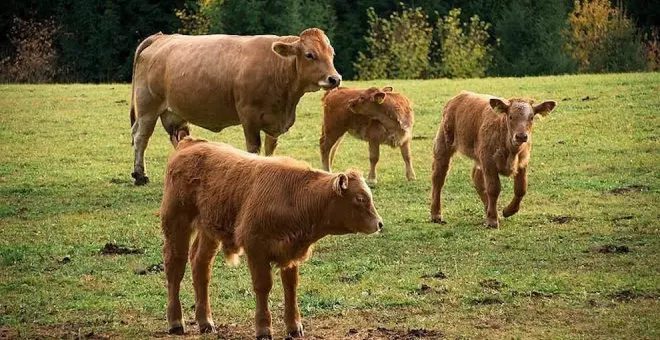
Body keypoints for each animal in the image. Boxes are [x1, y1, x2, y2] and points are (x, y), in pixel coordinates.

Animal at [131, 27, 342, 185]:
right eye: (309, 54)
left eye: (331, 53)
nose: (335, 79)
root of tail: (161, 37)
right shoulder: (249, 116)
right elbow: (253, 148)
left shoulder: (275, 120)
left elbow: (270, 148)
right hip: (147, 107)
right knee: (141, 137)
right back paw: (140, 175)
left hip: (173, 113)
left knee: (173, 137)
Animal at [160, 135, 384, 338]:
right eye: (360, 198)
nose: (379, 223)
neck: (296, 195)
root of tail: (189, 143)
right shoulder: (256, 249)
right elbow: (263, 286)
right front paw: (263, 328)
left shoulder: (291, 251)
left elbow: (291, 287)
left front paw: (294, 326)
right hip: (176, 223)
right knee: (175, 268)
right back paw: (176, 321)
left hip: (209, 230)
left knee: (201, 266)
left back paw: (205, 322)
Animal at [430, 91, 556, 227]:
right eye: (510, 116)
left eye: (531, 117)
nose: (521, 136)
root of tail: (459, 96)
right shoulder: (489, 162)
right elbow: (493, 189)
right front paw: (492, 220)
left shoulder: (522, 163)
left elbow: (521, 189)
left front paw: (507, 211)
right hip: (443, 145)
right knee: (438, 178)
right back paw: (436, 215)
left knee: (476, 178)